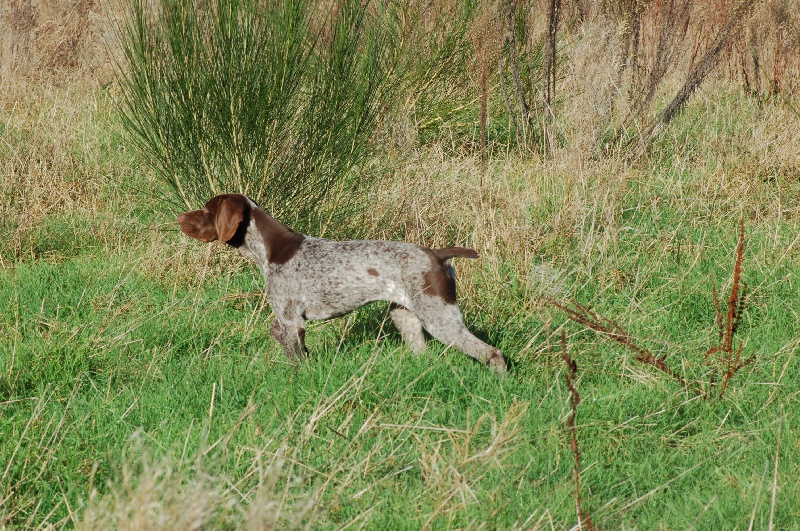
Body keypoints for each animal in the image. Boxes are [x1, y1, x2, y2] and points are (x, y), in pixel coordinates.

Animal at [179, 194, 510, 374]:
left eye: (207, 210)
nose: (180, 217)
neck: (268, 250)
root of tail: (437, 254)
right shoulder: (288, 321)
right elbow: (282, 337)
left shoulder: (292, 320)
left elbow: (294, 353)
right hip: (405, 316)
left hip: (440, 317)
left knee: (491, 352)